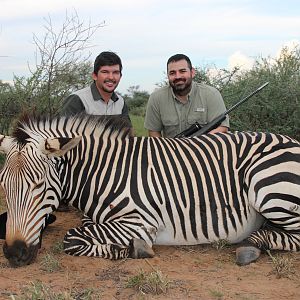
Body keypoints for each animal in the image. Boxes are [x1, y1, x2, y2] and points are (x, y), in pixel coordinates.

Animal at [0, 114, 298, 268]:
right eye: (3, 186)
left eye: (39, 186)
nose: (14, 254)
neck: (104, 171)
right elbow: (81, 231)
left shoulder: (140, 222)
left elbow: (71, 238)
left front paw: (130, 250)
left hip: (268, 188)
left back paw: (250, 246)